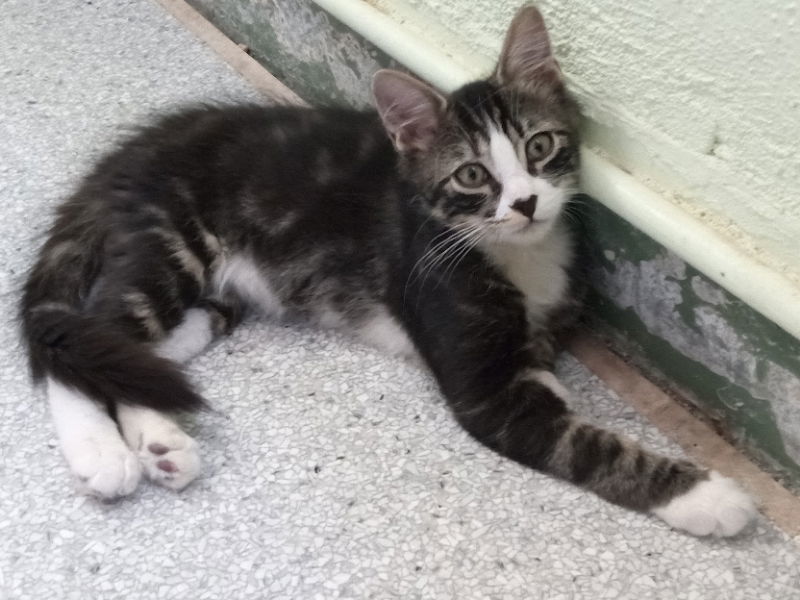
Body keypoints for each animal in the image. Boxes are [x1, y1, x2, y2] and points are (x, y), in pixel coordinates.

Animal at [20, 4, 756, 536]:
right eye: (472, 176)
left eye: (541, 146)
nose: (525, 203)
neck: (517, 254)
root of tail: (122, 159)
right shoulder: (486, 390)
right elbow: (586, 443)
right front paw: (707, 499)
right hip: (169, 244)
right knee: (78, 339)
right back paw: (104, 454)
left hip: (216, 289)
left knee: (132, 353)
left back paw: (160, 442)